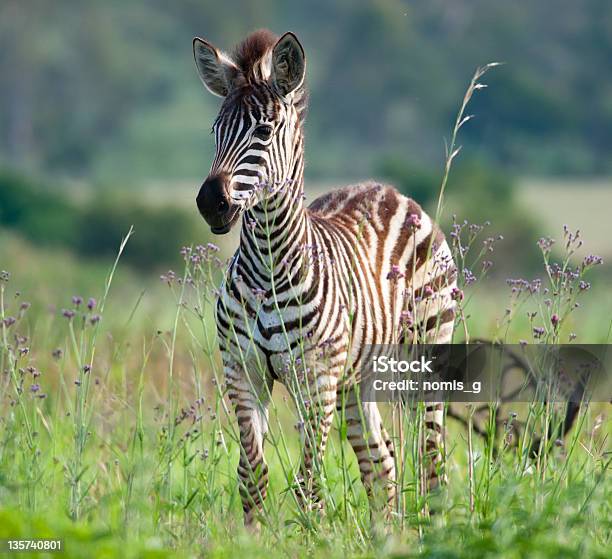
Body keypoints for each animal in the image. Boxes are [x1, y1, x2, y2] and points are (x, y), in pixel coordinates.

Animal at [194, 29, 456, 528]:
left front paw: (309, 534)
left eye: (263, 132)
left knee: (431, 457)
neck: (268, 265)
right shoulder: (243, 371)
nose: (210, 204)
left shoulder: (317, 381)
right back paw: (384, 535)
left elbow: (308, 483)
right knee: (381, 460)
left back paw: (434, 528)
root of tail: (388, 190)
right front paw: (253, 536)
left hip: (425, 354)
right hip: (357, 380)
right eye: (213, 132)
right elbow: (252, 474)